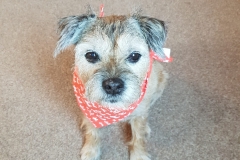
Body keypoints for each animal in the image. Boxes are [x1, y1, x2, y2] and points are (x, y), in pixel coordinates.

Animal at [54, 8, 169, 160]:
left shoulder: (139, 114)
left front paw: (138, 154)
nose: (113, 86)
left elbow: (139, 136)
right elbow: (92, 131)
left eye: (134, 56)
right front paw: (91, 150)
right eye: (91, 55)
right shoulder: (90, 112)